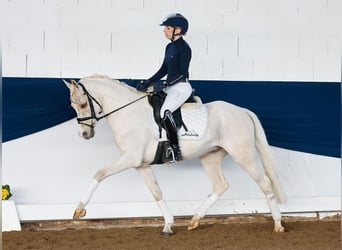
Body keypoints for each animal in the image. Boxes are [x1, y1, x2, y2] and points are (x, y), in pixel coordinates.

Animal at [62, 75, 286, 234]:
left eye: (83, 104)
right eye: (72, 105)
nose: (85, 135)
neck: (128, 112)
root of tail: (242, 111)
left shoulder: (129, 158)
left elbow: (99, 173)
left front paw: (79, 210)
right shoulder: (141, 164)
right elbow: (156, 192)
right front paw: (168, 225)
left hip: (243, 155)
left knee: (265, 184)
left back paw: (278, 225)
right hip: (210, 157)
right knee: (221, 185)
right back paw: (195, 220)